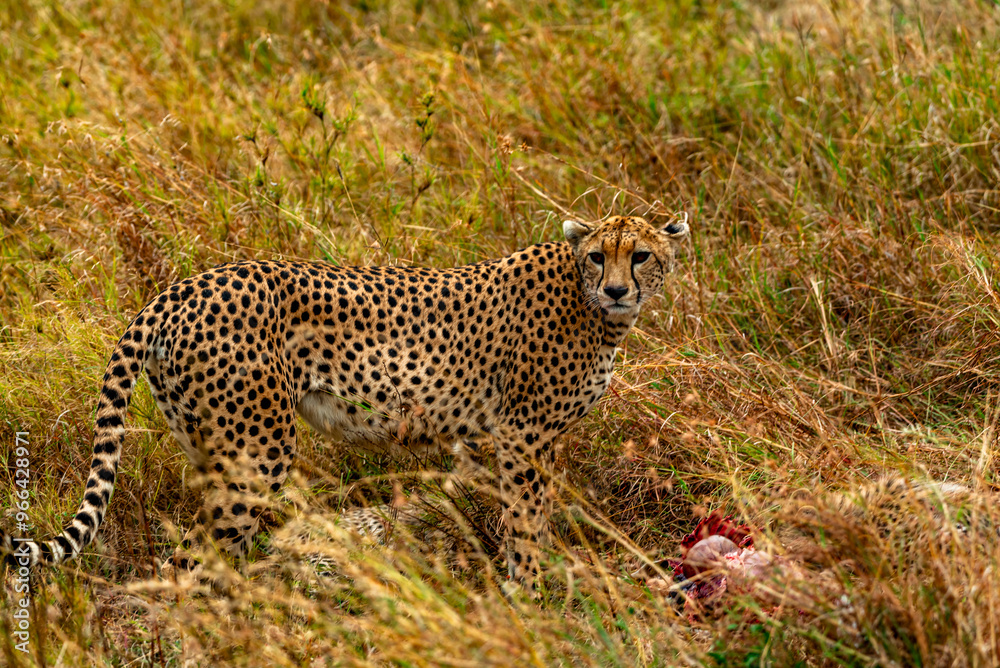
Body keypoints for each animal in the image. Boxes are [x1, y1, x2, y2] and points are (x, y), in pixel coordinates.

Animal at [1, 214, 689, 590]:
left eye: (641, 255)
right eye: (598, 256)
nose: (619, 288)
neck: (590, 304)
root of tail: (180, 287)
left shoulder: (481, 434)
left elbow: (482, 512)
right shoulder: (523, 435)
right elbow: (526, 523)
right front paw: (534, 594)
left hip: (209, 444)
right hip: (258, 452)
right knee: (187, 563)